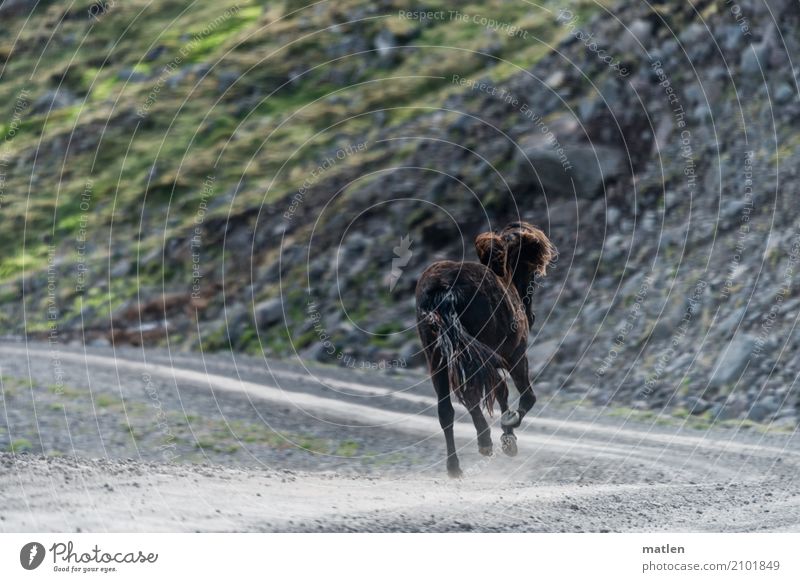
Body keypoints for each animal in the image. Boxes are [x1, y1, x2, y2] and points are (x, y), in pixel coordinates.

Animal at [416, 224, 552, 480]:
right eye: (531, 272)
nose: (531, 317)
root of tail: (445, 289)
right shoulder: (516, 356)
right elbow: (524, 396)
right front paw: (509, 430)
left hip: (438, 358)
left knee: (447, 409)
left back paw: (455, 465)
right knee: (481, 392)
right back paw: (486, 441)